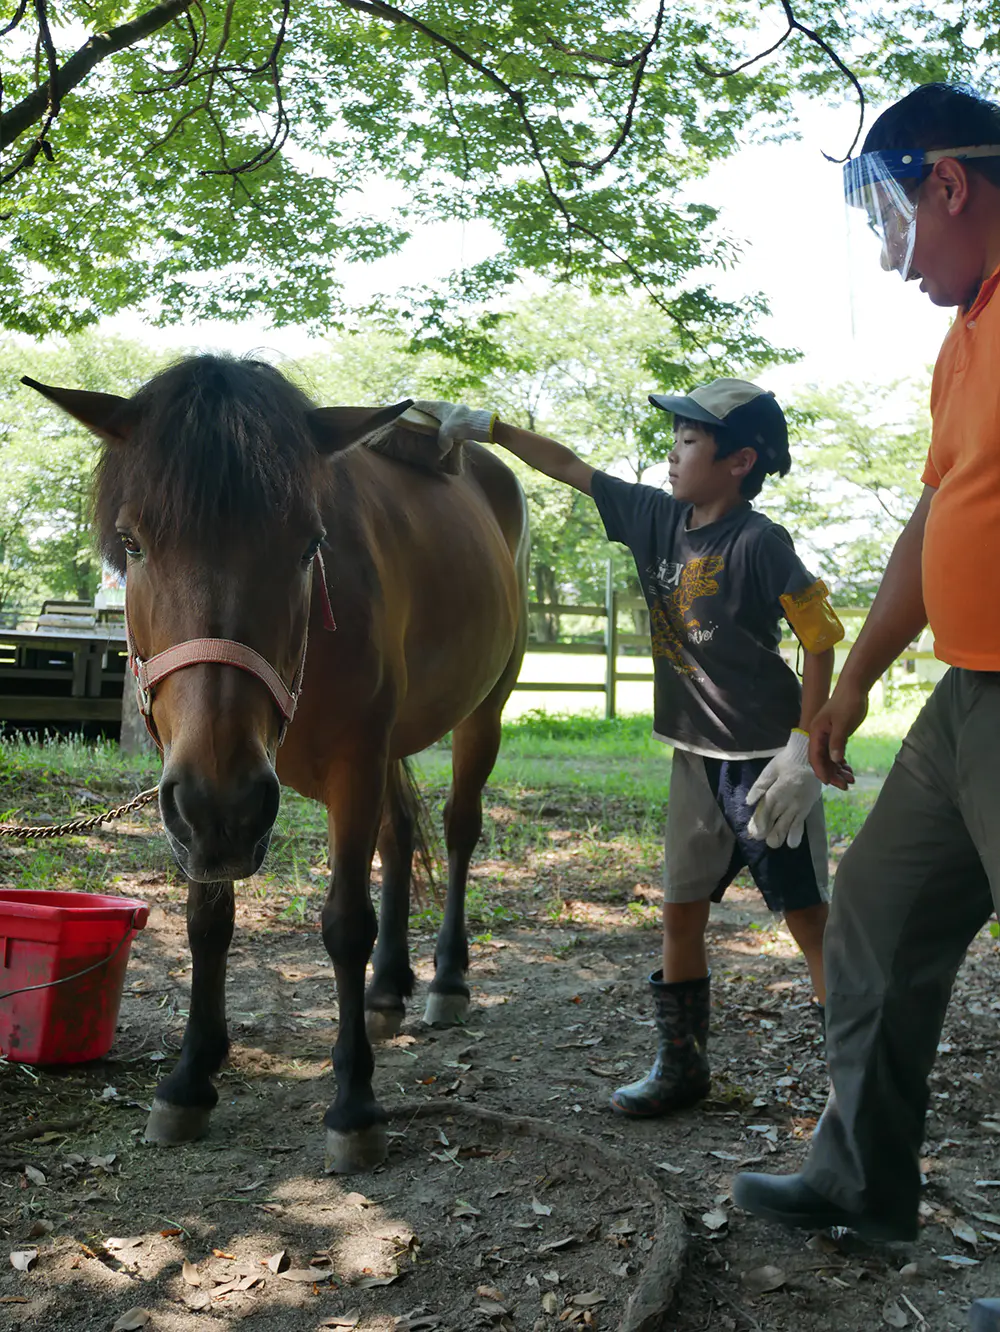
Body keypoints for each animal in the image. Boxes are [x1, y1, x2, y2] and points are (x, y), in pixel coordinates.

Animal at [23, 355, 529, 1174]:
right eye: (132, 543)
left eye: (307, 544)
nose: (225, 807)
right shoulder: (193, 789)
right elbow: (207, 920)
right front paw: (192, 1075)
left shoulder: (355, 758)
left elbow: (345, 921)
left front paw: (354, 1103)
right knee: (398, 835)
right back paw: (386, 990)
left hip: (485, 708)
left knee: (458, 830)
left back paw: (446, 979)